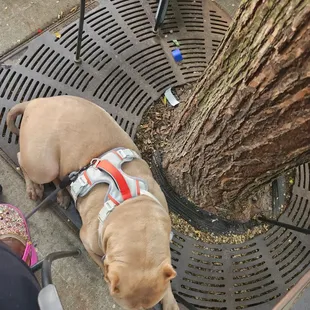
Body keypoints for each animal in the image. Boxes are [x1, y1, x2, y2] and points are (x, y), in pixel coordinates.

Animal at [7, 96, 179, 310]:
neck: (132, 206)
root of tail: (34, 102)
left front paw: (170, 301)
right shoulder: (88, 241)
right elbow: (102, 264)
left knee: (58, 177)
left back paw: (63, 194)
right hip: (43, 164)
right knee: (24, 160)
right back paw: (35, 187)